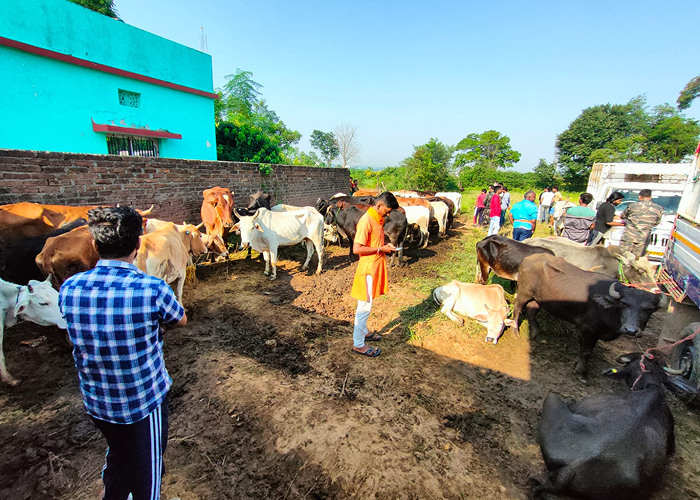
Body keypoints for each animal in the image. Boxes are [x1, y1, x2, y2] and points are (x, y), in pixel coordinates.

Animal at [512, 254, 660, 376]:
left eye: (649, 310)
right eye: (624, 303)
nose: (631, 330)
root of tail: (527, 259)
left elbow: (583, 349)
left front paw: (577, 362)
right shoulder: (589, 329)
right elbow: (587, 351)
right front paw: (580, 372)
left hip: (538, 299)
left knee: (531, 312)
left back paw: (537, 335)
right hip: (524, 292)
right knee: (517, 309)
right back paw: (515, 332)